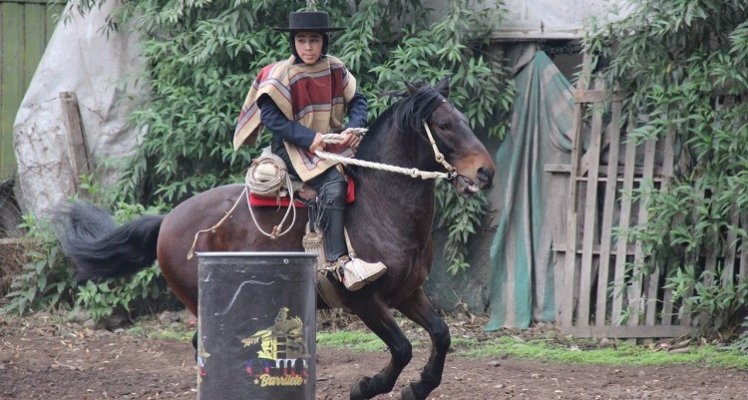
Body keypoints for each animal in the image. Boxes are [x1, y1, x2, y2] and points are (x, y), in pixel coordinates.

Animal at [58, 78, 496, 400]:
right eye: (444, 125)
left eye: (463, 118)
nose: (486, 172)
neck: (380, 205)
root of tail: (168, 221)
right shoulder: (362, 299)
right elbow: (402, 347)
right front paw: (367, 386)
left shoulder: (406, 292)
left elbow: (441, 335)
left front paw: (418, 387)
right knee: (206, 345)